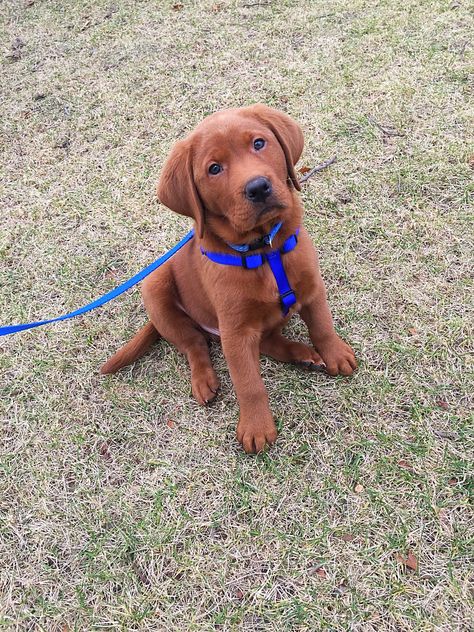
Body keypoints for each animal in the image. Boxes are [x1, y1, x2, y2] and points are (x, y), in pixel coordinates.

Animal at [102, 107, 358, 454]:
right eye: (214, 169)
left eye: (259, 143)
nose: (258, 187)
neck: (265, 249)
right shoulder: (235, 331)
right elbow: (248, 382)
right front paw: (256, 427)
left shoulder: (312, 288)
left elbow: (322, 326)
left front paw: (335, 355)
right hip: (155, 288)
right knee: (194, 344)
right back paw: (203, 380)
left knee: (269, 341)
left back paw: (304, 356)